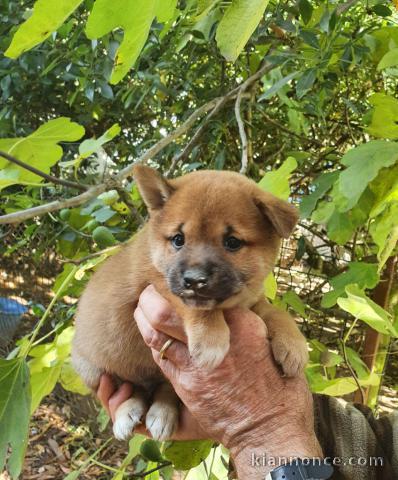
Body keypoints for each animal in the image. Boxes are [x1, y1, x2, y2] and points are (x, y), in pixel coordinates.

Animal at [72, 167, 308, 440]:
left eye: (232, 242)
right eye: (178, 239)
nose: (194, 280)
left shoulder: (253, 303)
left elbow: (277, 313)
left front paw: (294, 345)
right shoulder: (155, 283)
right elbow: (195, 307)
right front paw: (211, 339)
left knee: (164, 389)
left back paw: (161, 413)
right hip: (94, 369)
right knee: (131, 389)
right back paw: (126, 413)